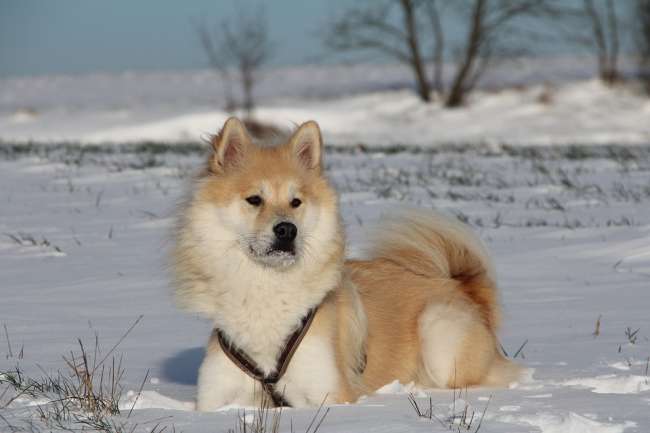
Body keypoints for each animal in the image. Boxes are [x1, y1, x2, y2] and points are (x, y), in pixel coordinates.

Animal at [170, 116, 520, 410]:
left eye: (296, 202)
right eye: (254, 200)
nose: (287, 230)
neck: (267, 286)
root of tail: (463, 288)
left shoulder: (326, 390)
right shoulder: (217, 396)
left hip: (439, 331)